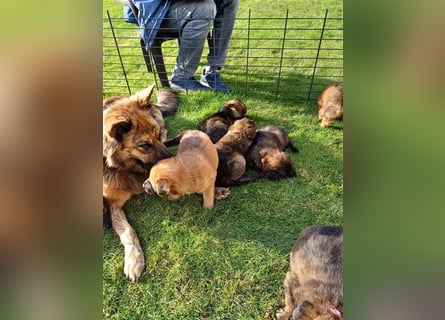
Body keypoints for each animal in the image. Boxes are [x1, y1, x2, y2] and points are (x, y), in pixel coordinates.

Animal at [103, 84, 180, 280]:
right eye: (145, 146)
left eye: (156, 136)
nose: (173, 162)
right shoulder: (113, 203)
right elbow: (128, 231)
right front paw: (134, 259)